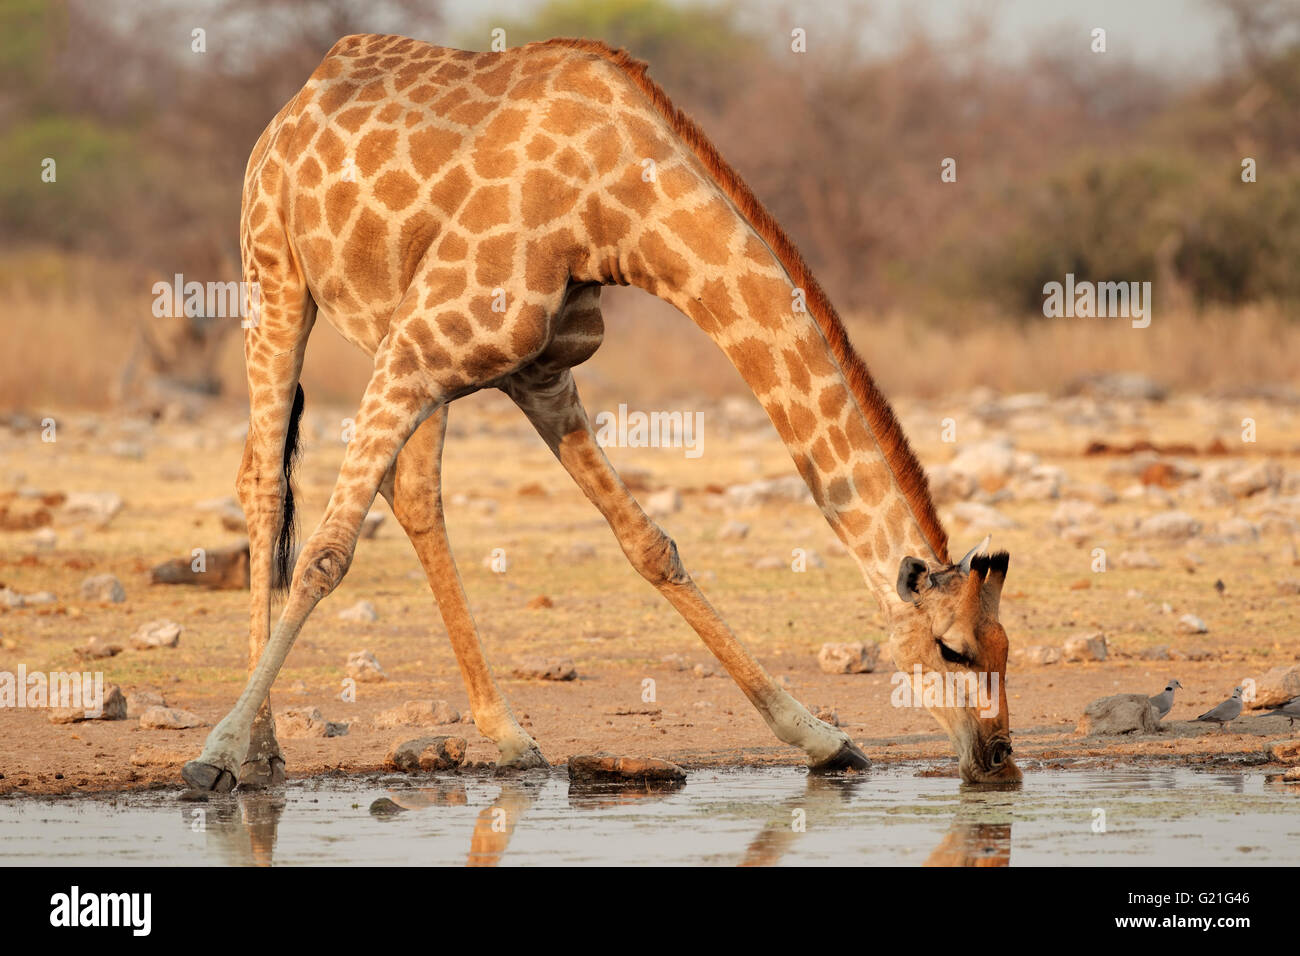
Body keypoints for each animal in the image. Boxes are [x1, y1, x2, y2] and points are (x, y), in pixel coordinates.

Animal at [180, 29, 1013, 790]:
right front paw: (216, 754)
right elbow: (326, 554)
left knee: (411, 491)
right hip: (276, 277)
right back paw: (262, 750)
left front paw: (822, 739)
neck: (619, 210)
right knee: (265, 478)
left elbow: (650, 545)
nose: (999, 757)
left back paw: (509, 737)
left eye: (1008, 646)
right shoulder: (423, 343)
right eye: (954, 649)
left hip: (390, 333)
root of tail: (296, 102)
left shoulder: (539, 372)